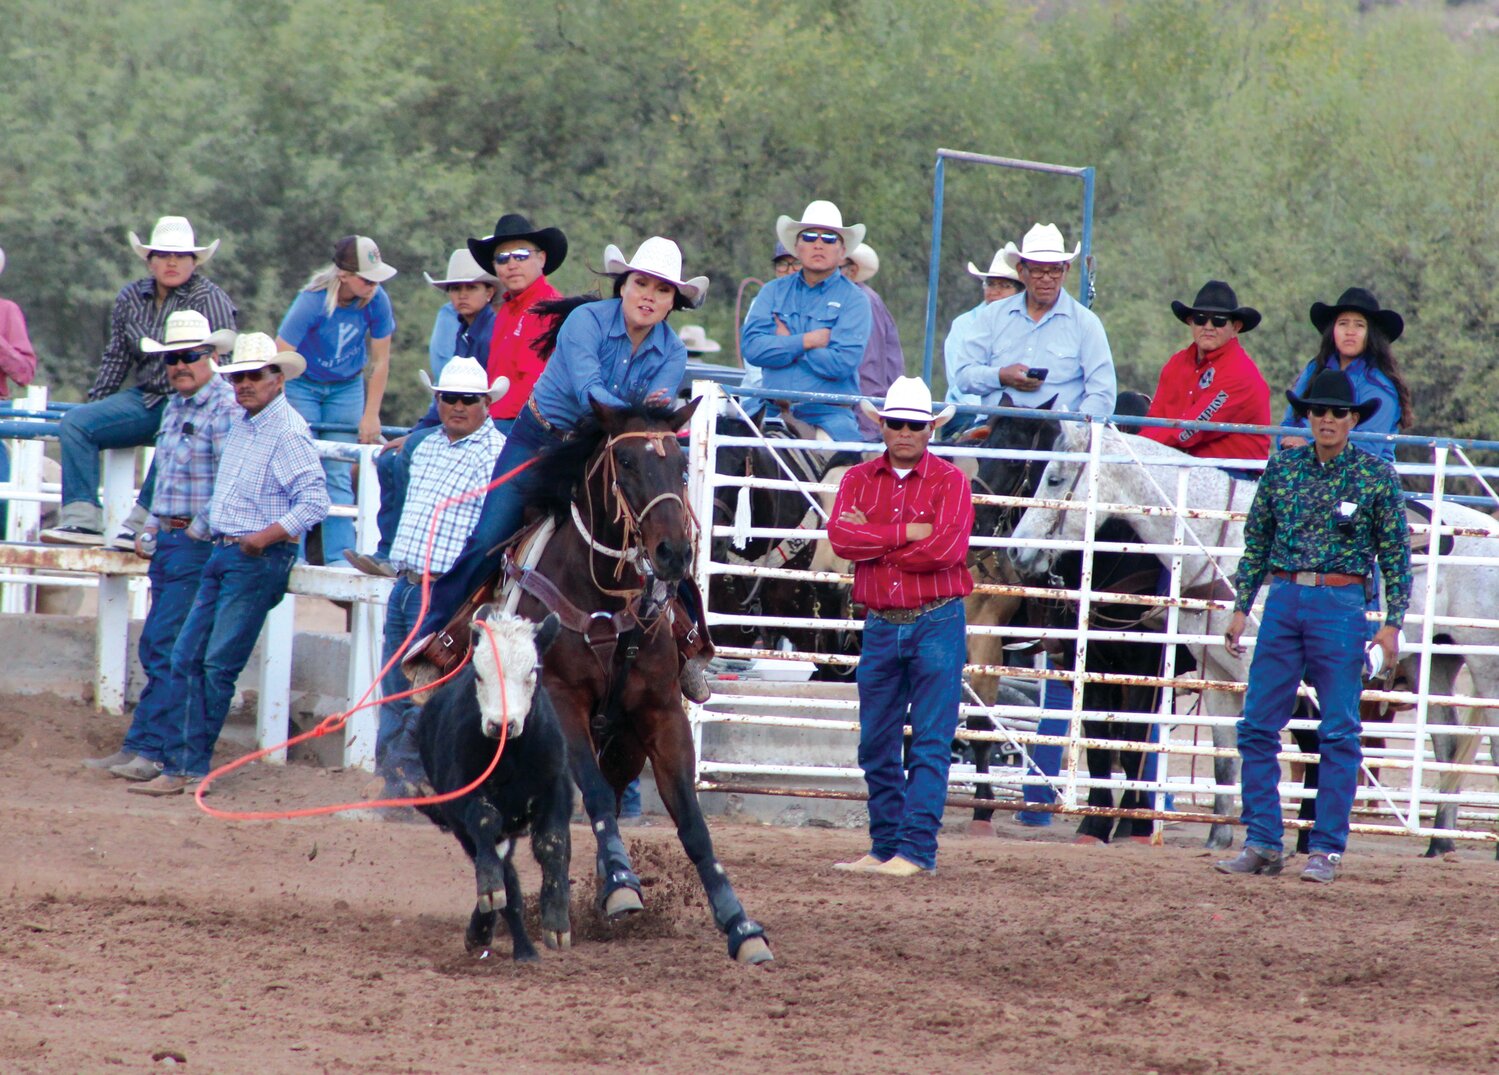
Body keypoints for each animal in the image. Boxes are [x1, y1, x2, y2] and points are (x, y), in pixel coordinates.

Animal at [467, 401, 773, 965]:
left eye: (681, 464)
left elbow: (692, 823)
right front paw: (622, 885)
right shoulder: (564, 703)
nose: (674, 551)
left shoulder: (660, 713)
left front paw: (741, 926)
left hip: (623, 747)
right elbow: (594, 796)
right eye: (626, 462)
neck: (601, 598)